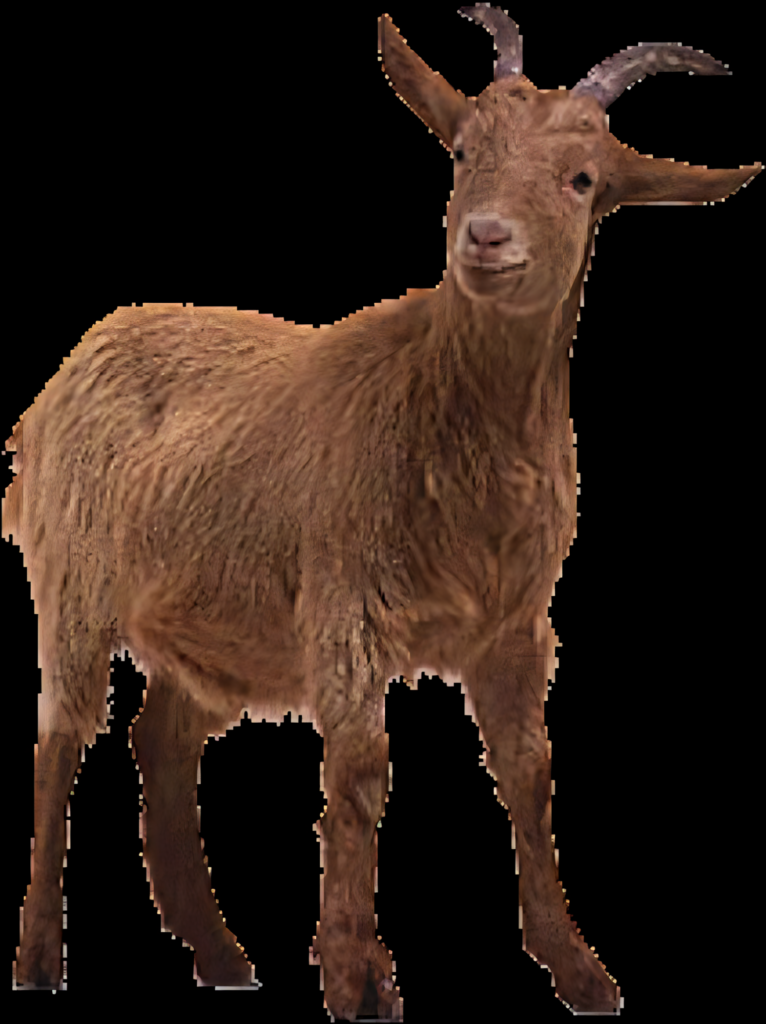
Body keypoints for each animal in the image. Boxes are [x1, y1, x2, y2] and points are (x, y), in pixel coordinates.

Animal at [4, 6, 760, 1017]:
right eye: (464, 149)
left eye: (584, 180)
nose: (486, 238)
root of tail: (79, 358)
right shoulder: (345, 604)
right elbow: (361, 773)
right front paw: (359, 975)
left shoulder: (515, 625)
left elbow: (529, 772)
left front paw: (579, 970)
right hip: (76, 576)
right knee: (61, 737)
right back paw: (40, 957)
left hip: (215, 625)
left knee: (160, 741)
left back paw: (221, 953)